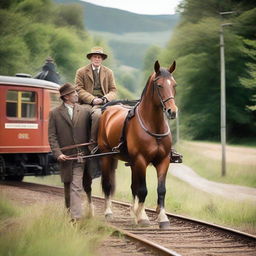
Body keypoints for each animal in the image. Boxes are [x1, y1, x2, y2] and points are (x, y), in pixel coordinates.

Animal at [96, 60, 178, 228]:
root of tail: (107, 110)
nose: (172, 111)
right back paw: (109, 212)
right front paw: (143, 217)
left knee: (133, 186)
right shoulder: (141, 160)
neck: (153, 125)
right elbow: (142, 190)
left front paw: (162, 218)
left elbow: (161, 190)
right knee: (108, 185)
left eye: (174, 85)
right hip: (107, 157)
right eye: (159, 85)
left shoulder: (163, 160)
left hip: (132, 163)